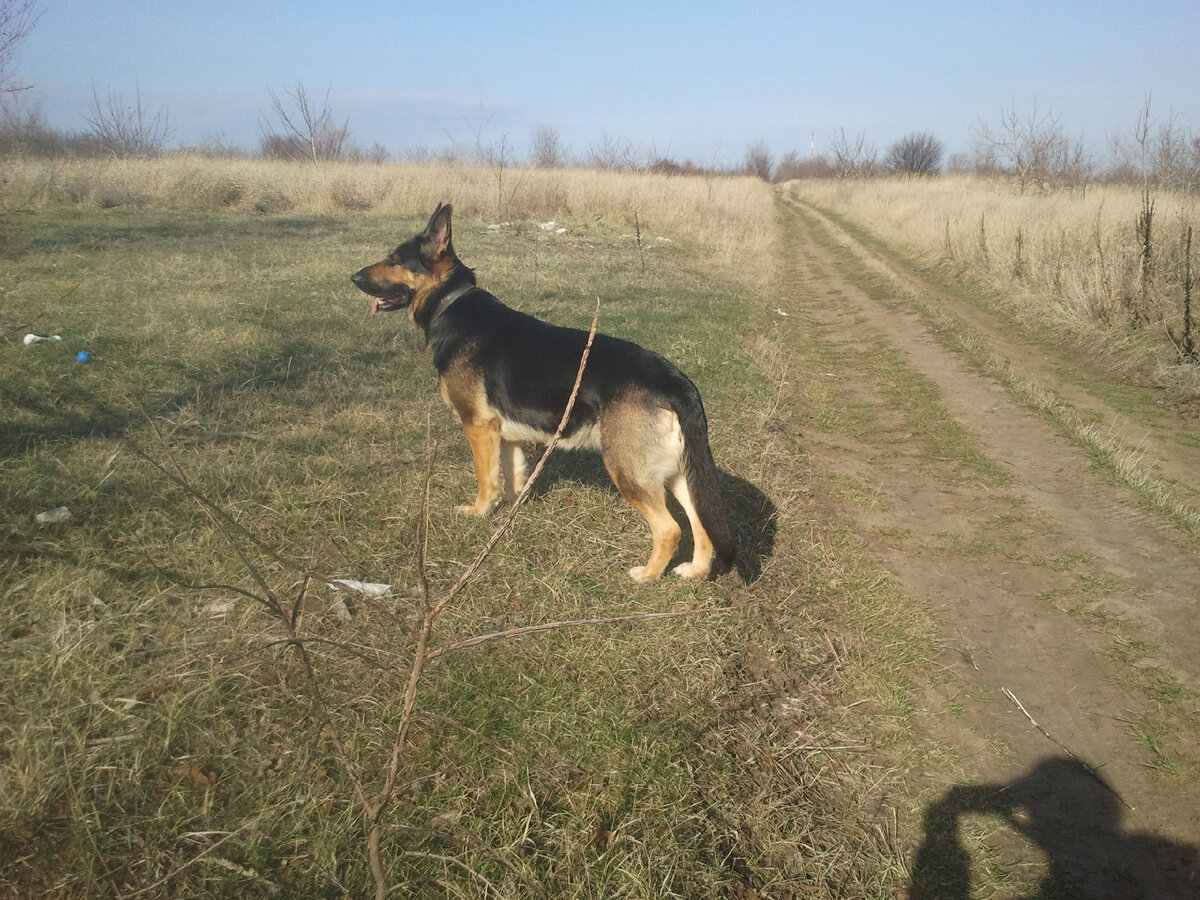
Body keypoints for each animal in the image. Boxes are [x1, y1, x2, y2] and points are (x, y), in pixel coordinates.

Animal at [350, 202, 734, 585]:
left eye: (394, 259)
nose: (352, 278)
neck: (450, 301)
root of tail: (677, 383)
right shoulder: (505, 436)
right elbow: (511, 478)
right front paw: (508, 513)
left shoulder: (478, 427)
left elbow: (487, 480)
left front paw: (479, 513)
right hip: (678, 474)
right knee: (701, 524)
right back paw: (695, 571)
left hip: (629, 471)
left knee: (670, 529)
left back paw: (647, 575)